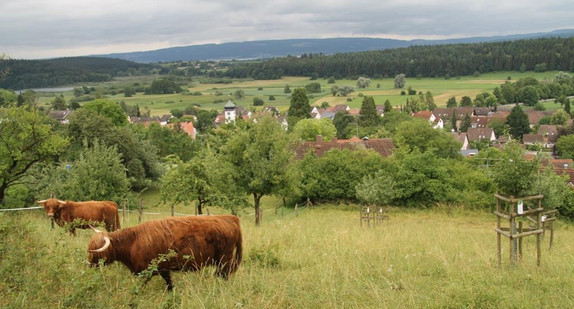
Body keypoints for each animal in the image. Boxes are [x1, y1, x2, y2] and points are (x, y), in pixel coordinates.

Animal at [87, 214, 243, 288]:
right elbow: (169, 285)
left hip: (224, 259)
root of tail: (230, 217)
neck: (133, 242)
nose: (89, 265)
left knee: (224, 275)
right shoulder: (163, 269)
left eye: (96, 252)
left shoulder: (151, 271)